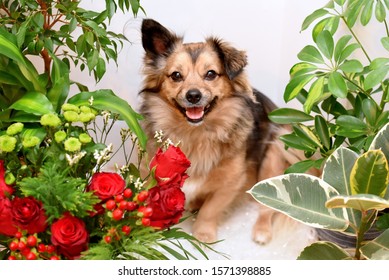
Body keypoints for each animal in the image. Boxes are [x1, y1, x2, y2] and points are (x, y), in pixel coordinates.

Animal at [138, 18, 304, 244]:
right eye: (176, 76)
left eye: (210, 74)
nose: (193, 95)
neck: (196, 135)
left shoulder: (232, 182)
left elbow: (211, 209)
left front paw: (203, 233)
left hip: (274, 154)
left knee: (267, 207)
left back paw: (262, 231)